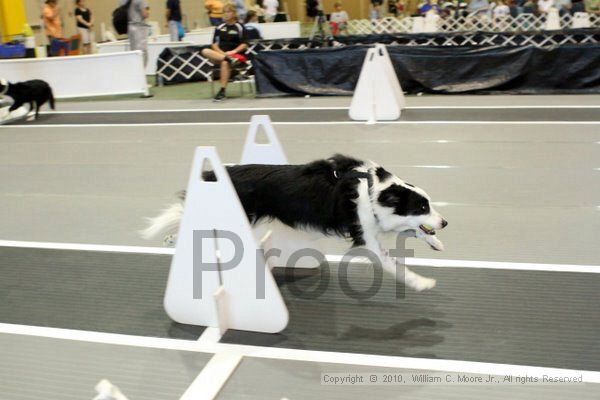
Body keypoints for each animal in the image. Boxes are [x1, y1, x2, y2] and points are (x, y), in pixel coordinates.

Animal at [143, 155, 448, 290]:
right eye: (422, 206)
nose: (445, 223)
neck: (375, 191)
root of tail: (216, 174)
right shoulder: (367, 238)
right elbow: (394, 265)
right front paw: (422, 282)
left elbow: (414, 231)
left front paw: (436, 241)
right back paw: (171, 237)